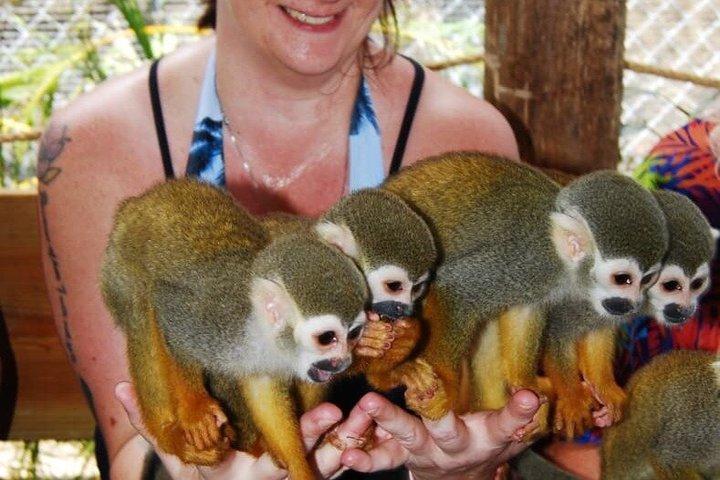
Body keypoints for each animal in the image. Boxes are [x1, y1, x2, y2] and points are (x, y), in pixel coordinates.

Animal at [101, 178, 369, 479]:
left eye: (354, 334)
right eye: (327, 338)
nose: (343, 361)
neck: (259, 332)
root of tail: (142, 199)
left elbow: (263, 394)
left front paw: (301, 467)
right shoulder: (215, 317)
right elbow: (166, 310)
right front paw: (196, 410)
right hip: (120, 264)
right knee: (142, 311)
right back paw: (168, 433)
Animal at [381, 152, 668, 433]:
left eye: (647, 280)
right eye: (623, 279)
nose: (633, 303)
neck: (560, 255)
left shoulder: (537, 280)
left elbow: (525, 310)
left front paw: (525, 382)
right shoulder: (529, 260)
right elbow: (455, 290)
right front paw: (446, 384)